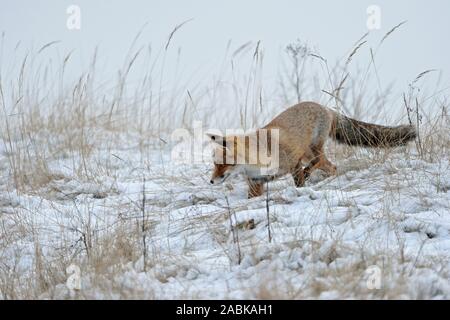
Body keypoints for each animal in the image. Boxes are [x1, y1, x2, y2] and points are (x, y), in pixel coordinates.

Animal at [209, 102, 416, 198]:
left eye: (225, 163)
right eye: (214, 164)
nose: (211, 181)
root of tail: (325, 107)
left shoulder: (293, 163)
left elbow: (299, 183)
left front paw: (301, 191)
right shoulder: (256, 181)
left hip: (311, 149)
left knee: (318, 162)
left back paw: (314, 174)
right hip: (310, 153)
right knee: (331, 166)